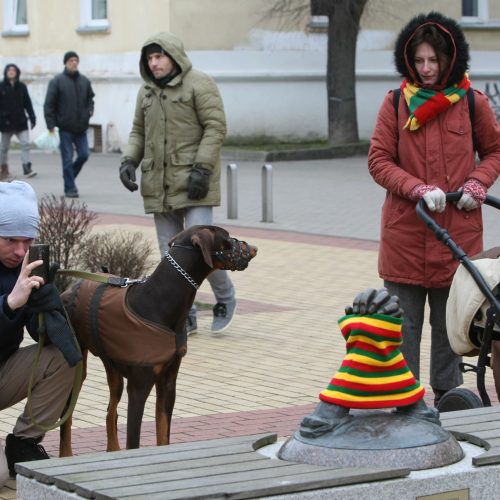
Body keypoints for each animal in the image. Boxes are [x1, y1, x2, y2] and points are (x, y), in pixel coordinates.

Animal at [59, 227, 258, 458]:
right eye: (226, 238)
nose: (254, 248)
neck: (159, 302)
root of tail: (70, 288)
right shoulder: (138, 387)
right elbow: (133, 441)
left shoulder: (168, 383)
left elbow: (163, 436)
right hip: (77, 370)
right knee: (66, 418)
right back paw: (65, 455)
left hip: (113, 369)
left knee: (111, 411)